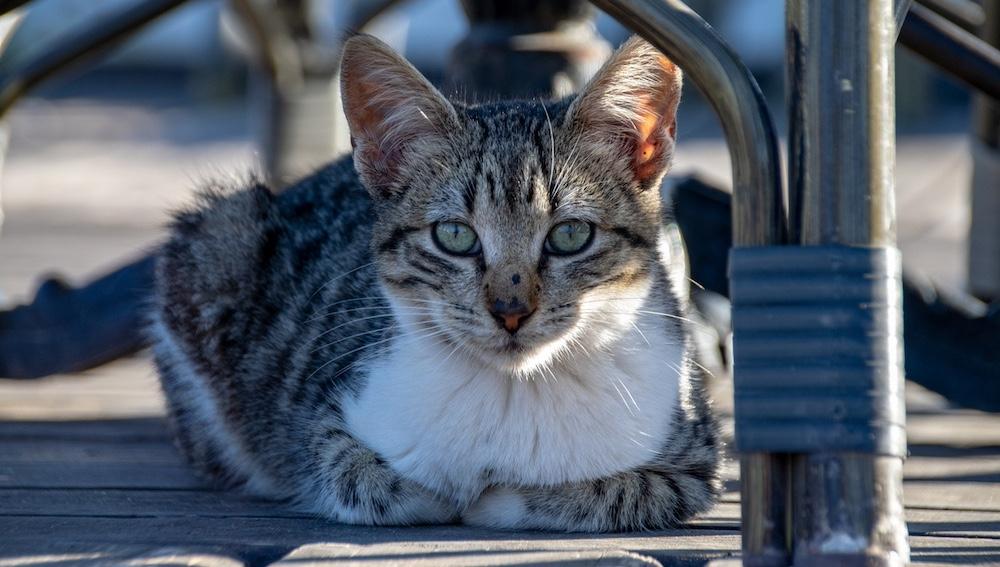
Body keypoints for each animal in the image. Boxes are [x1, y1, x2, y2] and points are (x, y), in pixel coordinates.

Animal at [150, 34, 720, 532]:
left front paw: (499, 498)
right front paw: (441, 492)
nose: (510, 309)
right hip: (219, 238)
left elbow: (614, 489)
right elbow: (358, 475)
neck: (514, 391)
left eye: (570, 235)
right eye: (455, 236)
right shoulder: (322, 417)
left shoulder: (693, 458)